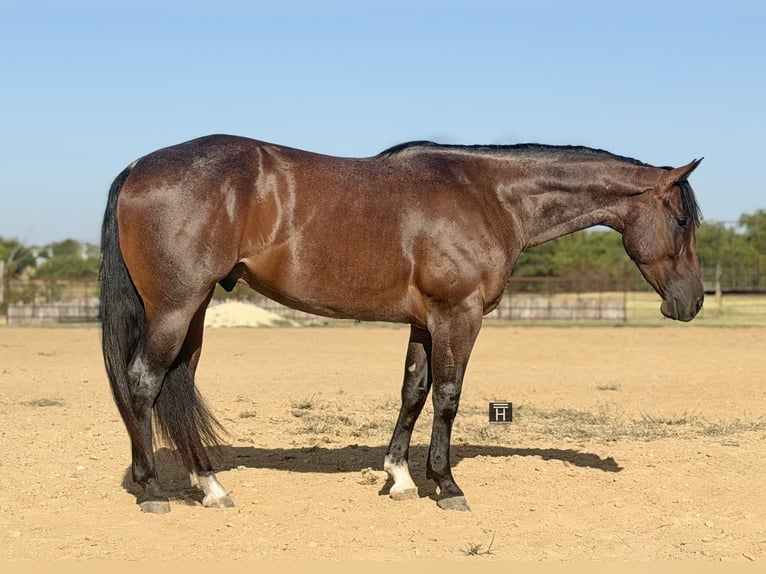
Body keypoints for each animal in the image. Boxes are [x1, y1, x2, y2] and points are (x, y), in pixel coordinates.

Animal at [100, 135, 703, 513]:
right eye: (680, 219)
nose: (692, 302)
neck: (489, 196)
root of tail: (137, 168)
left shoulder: (424, 322)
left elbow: (413, 391)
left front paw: (400, 478)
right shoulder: (458, 316)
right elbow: (449, 396)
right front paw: (447, 484)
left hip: (193, 309)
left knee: (177, 383)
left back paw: (211, 486)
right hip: (175, 307)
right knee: (143, 383)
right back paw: (152, 490)